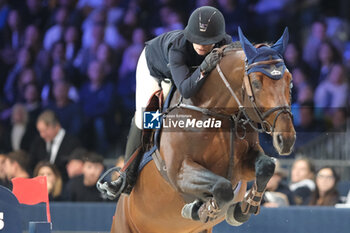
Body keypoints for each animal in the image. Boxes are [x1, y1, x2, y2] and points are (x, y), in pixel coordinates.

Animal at [111, 27, 296, 233]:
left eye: (289, 81)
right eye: (256, 83)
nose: (286, 139)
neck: (216, 114)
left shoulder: (244, 166)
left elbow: (266, 166)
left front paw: (242, 209)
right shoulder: (179, 172)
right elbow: (222, 187)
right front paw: (203, 210)